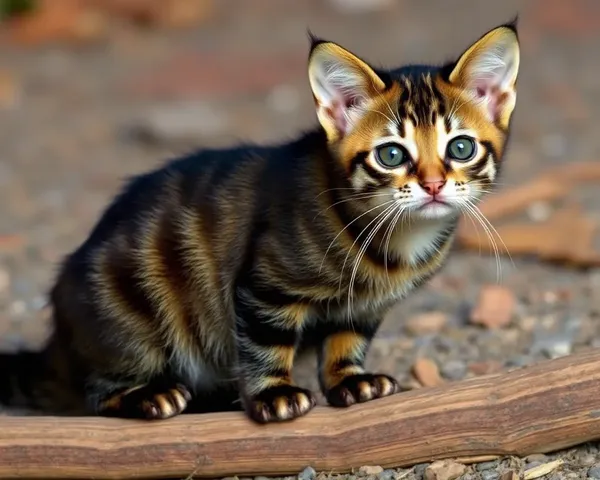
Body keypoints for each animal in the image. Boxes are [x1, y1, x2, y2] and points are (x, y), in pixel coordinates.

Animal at [0, 19, 520, 424]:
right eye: (391, 154)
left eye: (460, 148)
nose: (433, 185)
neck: (394, 239)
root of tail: (60, 345)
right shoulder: (267, 286)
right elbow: (266, 343)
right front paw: (274, 394)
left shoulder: (364, 307)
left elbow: (347, 340)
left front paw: (350, 381)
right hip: (126, 309)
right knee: (97, 389)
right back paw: (150, 395)